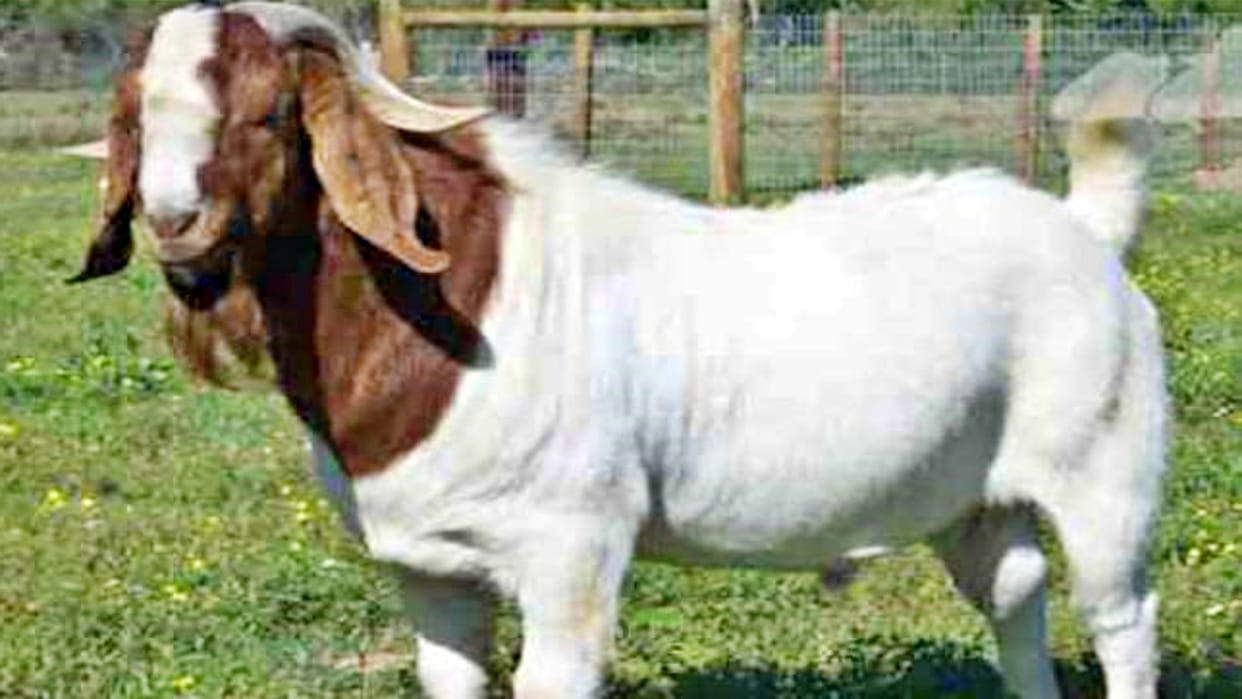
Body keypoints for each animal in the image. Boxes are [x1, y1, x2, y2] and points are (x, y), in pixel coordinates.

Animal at [68, 3, 1168, 698]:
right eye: (132, 118)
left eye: (267, 112)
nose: (174, 223)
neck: (460, 301)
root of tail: (1084, 226)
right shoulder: (429, 570)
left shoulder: (571, 547)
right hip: (974, 503)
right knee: (1017, 604)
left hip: (1104, 470)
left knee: (1120, 617)